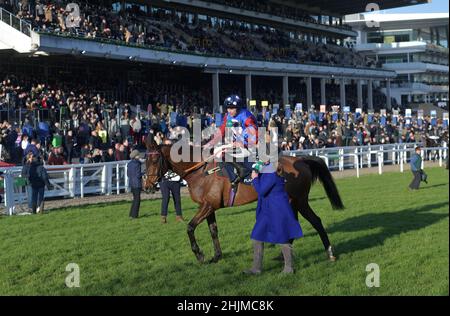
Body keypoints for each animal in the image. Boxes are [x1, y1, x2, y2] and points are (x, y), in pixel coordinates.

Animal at [145, 138, 344, 264]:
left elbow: (189, 227)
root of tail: (301, 159)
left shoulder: (207, 206)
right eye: (145, 161)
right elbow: (213, 231)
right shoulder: (209, 207)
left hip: (300, 200)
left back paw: (330, 253)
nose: (147, 186)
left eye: (154, 160)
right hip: (290, 201)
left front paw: (200, 255)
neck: (201, 171)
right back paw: (284, 254)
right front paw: (217, 256)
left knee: (316, 221)